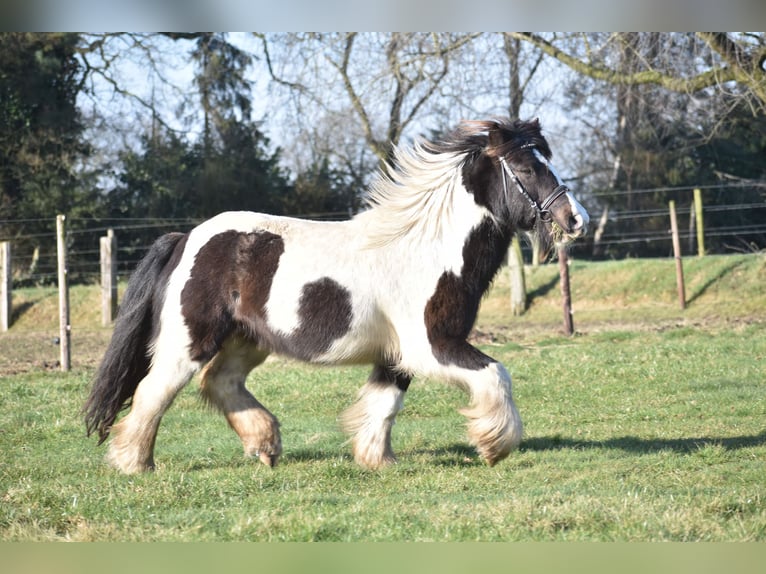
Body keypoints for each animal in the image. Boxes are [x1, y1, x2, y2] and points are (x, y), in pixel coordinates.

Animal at [84, 115, 592, 474]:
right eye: (526, 166)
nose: (576, 220)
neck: (427, 250)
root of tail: (186, 238)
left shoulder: (397, 355)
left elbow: (385, 403)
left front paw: (376, 459)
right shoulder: (431, 346)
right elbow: (495, 374)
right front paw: (494, 445)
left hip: (246, 341)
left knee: (220, 382)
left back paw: (265, 446)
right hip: (189, 341)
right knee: (154, 392)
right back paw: (135, 463)